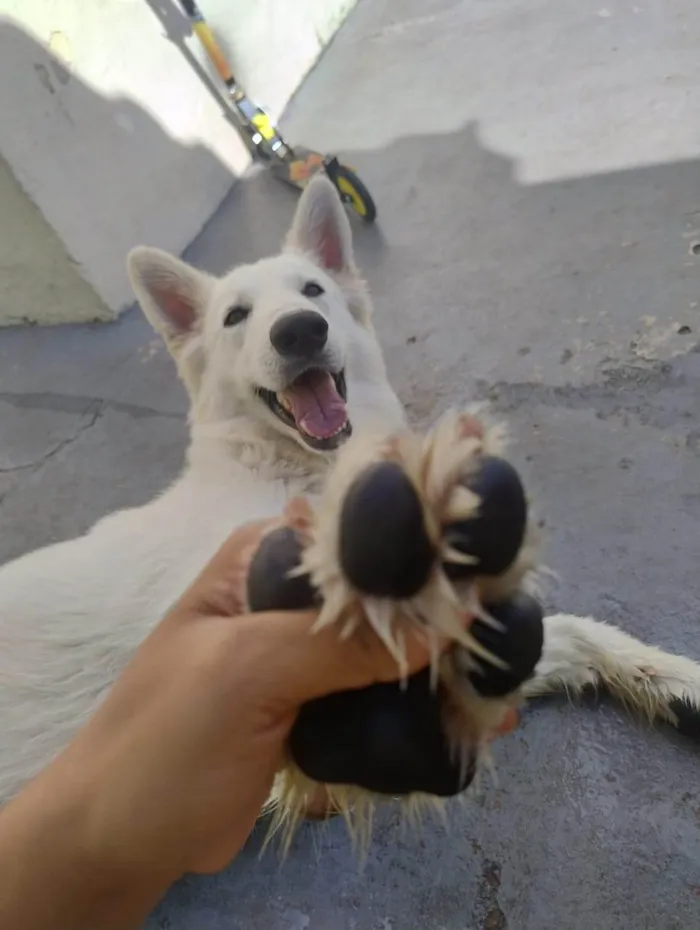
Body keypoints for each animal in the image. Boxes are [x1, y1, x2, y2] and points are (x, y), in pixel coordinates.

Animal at [0, 176, 696, 820]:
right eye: (235, 317)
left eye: (313, 291)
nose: (300, 332)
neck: (302, 471)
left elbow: (557, 632)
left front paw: (671, 677)